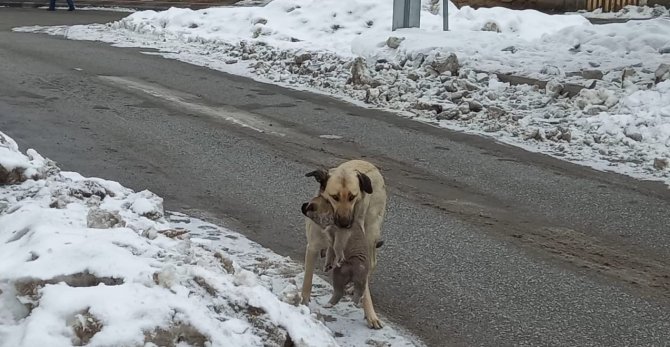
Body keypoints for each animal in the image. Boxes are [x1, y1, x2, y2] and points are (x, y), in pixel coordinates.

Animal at [300, 160, 388, 328]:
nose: (345, 224)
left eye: (352, 197)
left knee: (371, 263)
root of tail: (368, 163)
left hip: (371, 230)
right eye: (334, 197)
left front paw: (370, 314)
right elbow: (307, 280)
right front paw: (303, 304)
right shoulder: (312, 247)